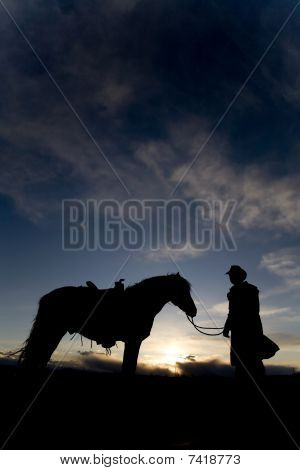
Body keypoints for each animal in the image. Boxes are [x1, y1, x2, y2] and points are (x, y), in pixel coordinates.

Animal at [19, 272, 197, 374]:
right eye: (183, 290)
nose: (194, 311)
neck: (140, 302)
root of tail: (46, 297)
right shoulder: (134, 341)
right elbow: (128, 369)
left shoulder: (132, 342)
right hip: (51, 331)